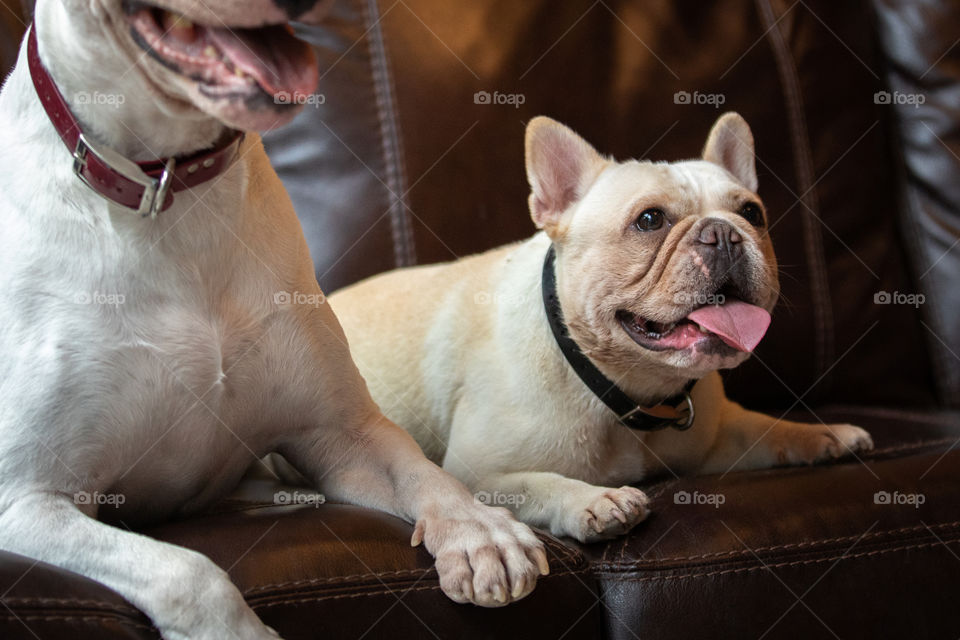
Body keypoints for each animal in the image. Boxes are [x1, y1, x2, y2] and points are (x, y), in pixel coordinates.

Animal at [0, 2, 548, 636]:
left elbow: (427, 474)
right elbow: (186, 571)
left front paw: (480, 531)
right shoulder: (28, 499)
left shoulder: (345, 433)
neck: (172, 191)